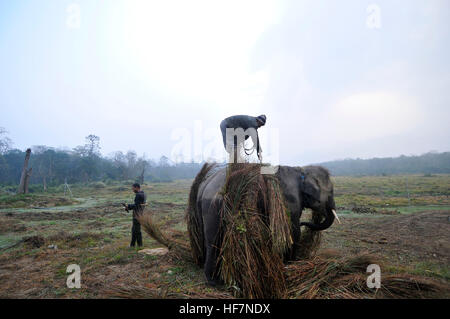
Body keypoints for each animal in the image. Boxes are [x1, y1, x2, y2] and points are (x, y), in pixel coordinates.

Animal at [193, 165, 338, 284]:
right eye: (330, 192)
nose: (305, 223)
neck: (301, 170)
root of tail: (204, 185)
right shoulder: (289, 200)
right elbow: (293, 232)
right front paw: (291, 263)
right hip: (214, 206)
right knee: (214, 240)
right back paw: (215, 282)